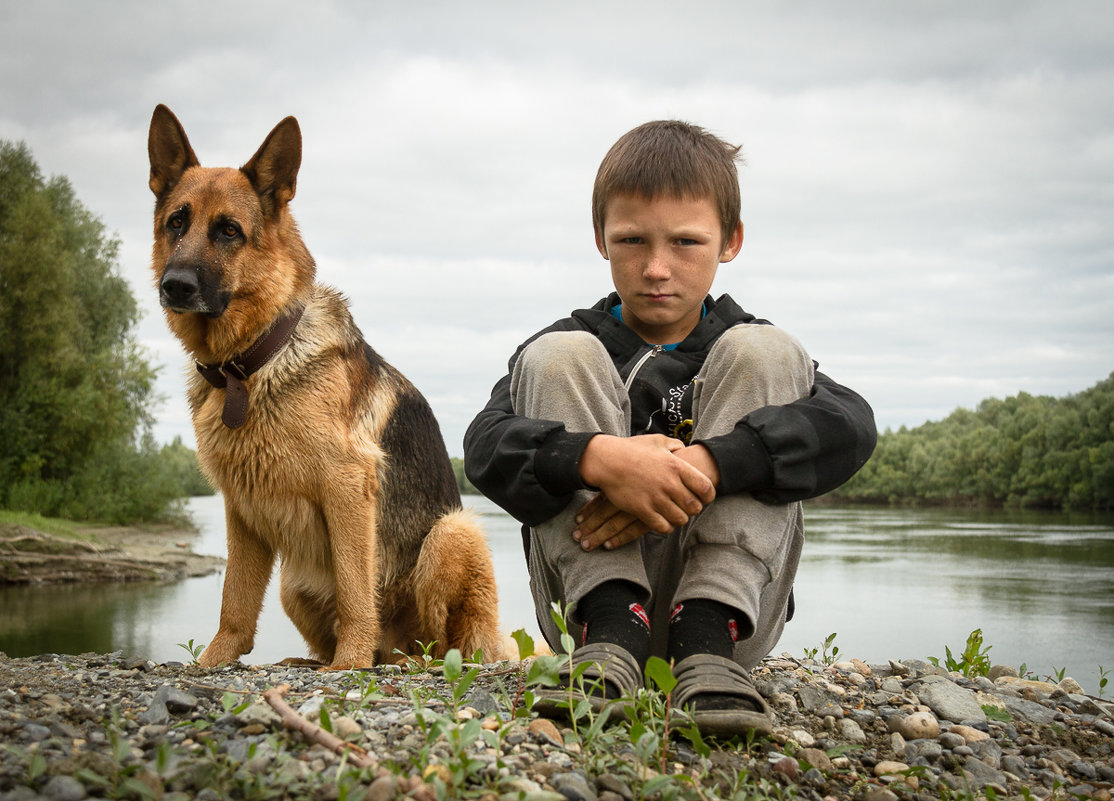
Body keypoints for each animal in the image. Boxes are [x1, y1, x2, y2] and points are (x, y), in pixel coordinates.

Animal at [147, 106, 501, 668]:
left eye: (229, 231)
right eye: (176, 222)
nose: (174, 285)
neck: (250, 365)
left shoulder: (348, 489)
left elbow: (356, 589)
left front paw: (350, 663)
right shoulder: (240, 510)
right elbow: (234, 599)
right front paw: (214, 661)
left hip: (451, 532)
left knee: (446, 646)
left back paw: (397, 659)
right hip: (293, 583)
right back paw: (314, 660)